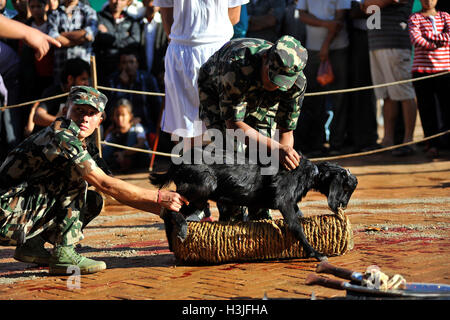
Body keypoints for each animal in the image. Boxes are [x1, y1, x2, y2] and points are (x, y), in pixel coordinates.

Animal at [149, 154, 356, 262]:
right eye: (346, 187)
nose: (344, 205)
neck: (306, 173)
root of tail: (178, 164)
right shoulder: (284, 201)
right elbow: (296, 227)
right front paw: (316, 253)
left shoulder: (289, 204)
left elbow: (299, 216)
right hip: (203, 185)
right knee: (170, 207)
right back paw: (183, 230)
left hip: (199, 198)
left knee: (169, 212)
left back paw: (174, 241)